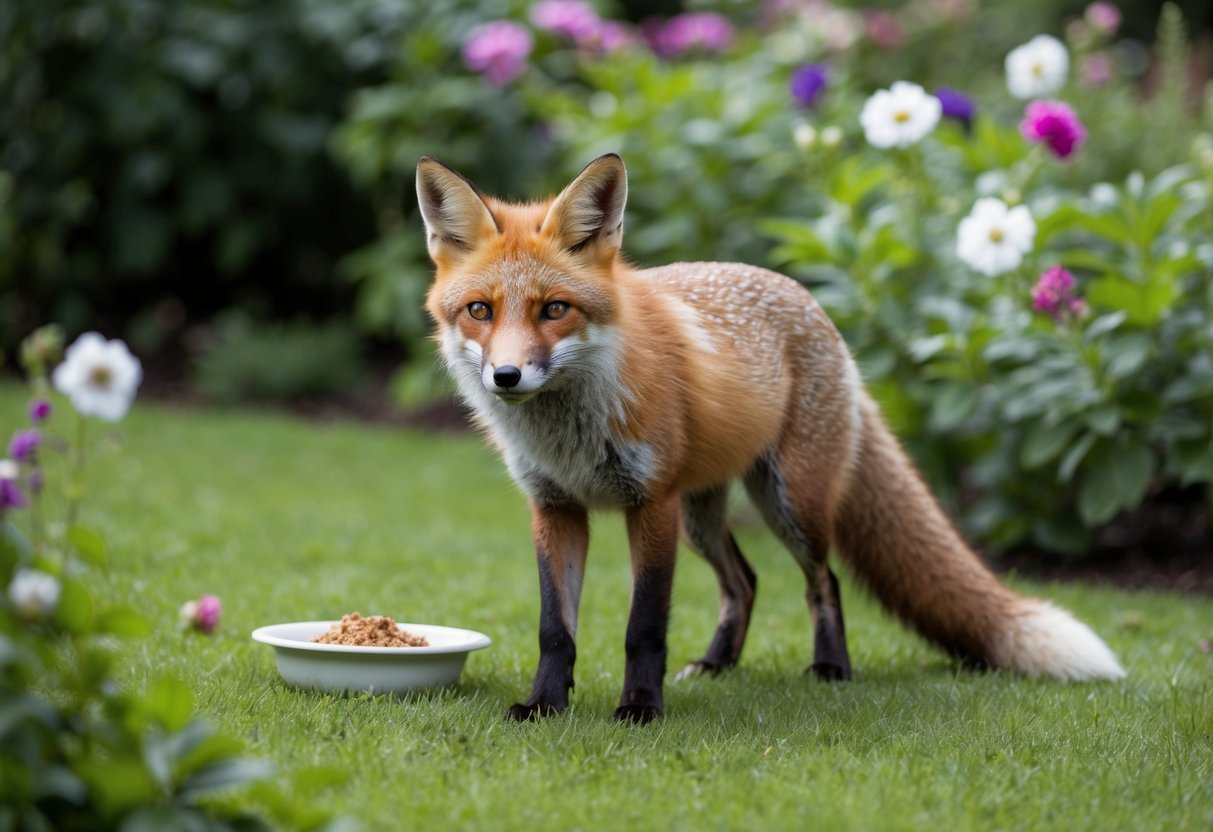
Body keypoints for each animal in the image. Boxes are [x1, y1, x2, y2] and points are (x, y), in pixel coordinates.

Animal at [415, 152, 1126, 723]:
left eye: (554, 310)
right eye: (480, 311)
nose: (507, 377)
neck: (571, 434)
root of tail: (817, 309)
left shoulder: (651, 504)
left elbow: (644, 627)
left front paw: (640, 709)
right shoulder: (555, 508)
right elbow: (554, 629)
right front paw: (544, 705)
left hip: (790, 504)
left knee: (824, 582)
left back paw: (832, 669)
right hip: (703, 518)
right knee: (746, 581)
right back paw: (716, 664)